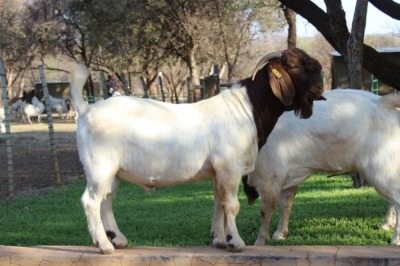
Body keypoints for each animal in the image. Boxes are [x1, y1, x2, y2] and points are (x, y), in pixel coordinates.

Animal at [69, 48, 324, 255]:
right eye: (294, 65)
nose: (321, 83)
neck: (247, 110)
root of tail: (86, 110)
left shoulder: (218, 172)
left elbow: (220, 202)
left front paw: (220, 240)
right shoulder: (230, 168)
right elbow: (232, 205)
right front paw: (236, 242)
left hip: (113, 172)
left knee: (106, 201)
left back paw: (119, 240)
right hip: (100, 167)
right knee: (90, 201)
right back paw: (104, 246)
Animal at [245, 89, 400, 245]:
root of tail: (381, 102)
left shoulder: (268, 177)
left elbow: (265, 212)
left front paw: (260, 242)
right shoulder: (287, 176)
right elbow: (285, 205)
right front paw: (280, 234)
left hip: (382, 170)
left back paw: (395, 238)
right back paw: (387, 224)